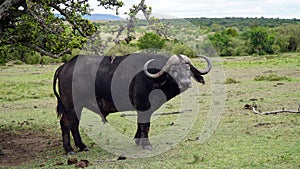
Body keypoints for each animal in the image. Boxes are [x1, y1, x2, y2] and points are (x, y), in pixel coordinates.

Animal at [53, 53, 211, 154]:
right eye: (174, 69)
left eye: (188, 69)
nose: (185, 82)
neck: (154, 78)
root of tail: (65, 66)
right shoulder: (143, 107)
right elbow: (145, 125)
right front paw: (146, 145)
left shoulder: (143, 109)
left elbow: (140, 124)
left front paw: (138, 141)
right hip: (70, 106)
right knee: (66, 123)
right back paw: (70, 150)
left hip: (77, 107)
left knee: (74, 124)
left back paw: (82, 146)